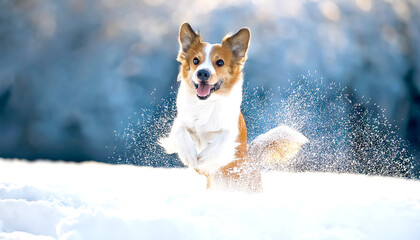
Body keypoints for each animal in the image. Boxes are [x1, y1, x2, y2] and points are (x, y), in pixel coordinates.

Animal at [158, 22, 308, 191]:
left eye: (220, 62)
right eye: (196, 61)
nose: (202, 73)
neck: (207, 104)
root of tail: (251, 159)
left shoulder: (231, 130)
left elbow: (221, 141)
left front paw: (203, 158)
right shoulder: (181, 121)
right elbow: (180, 131)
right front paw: (190, 155)